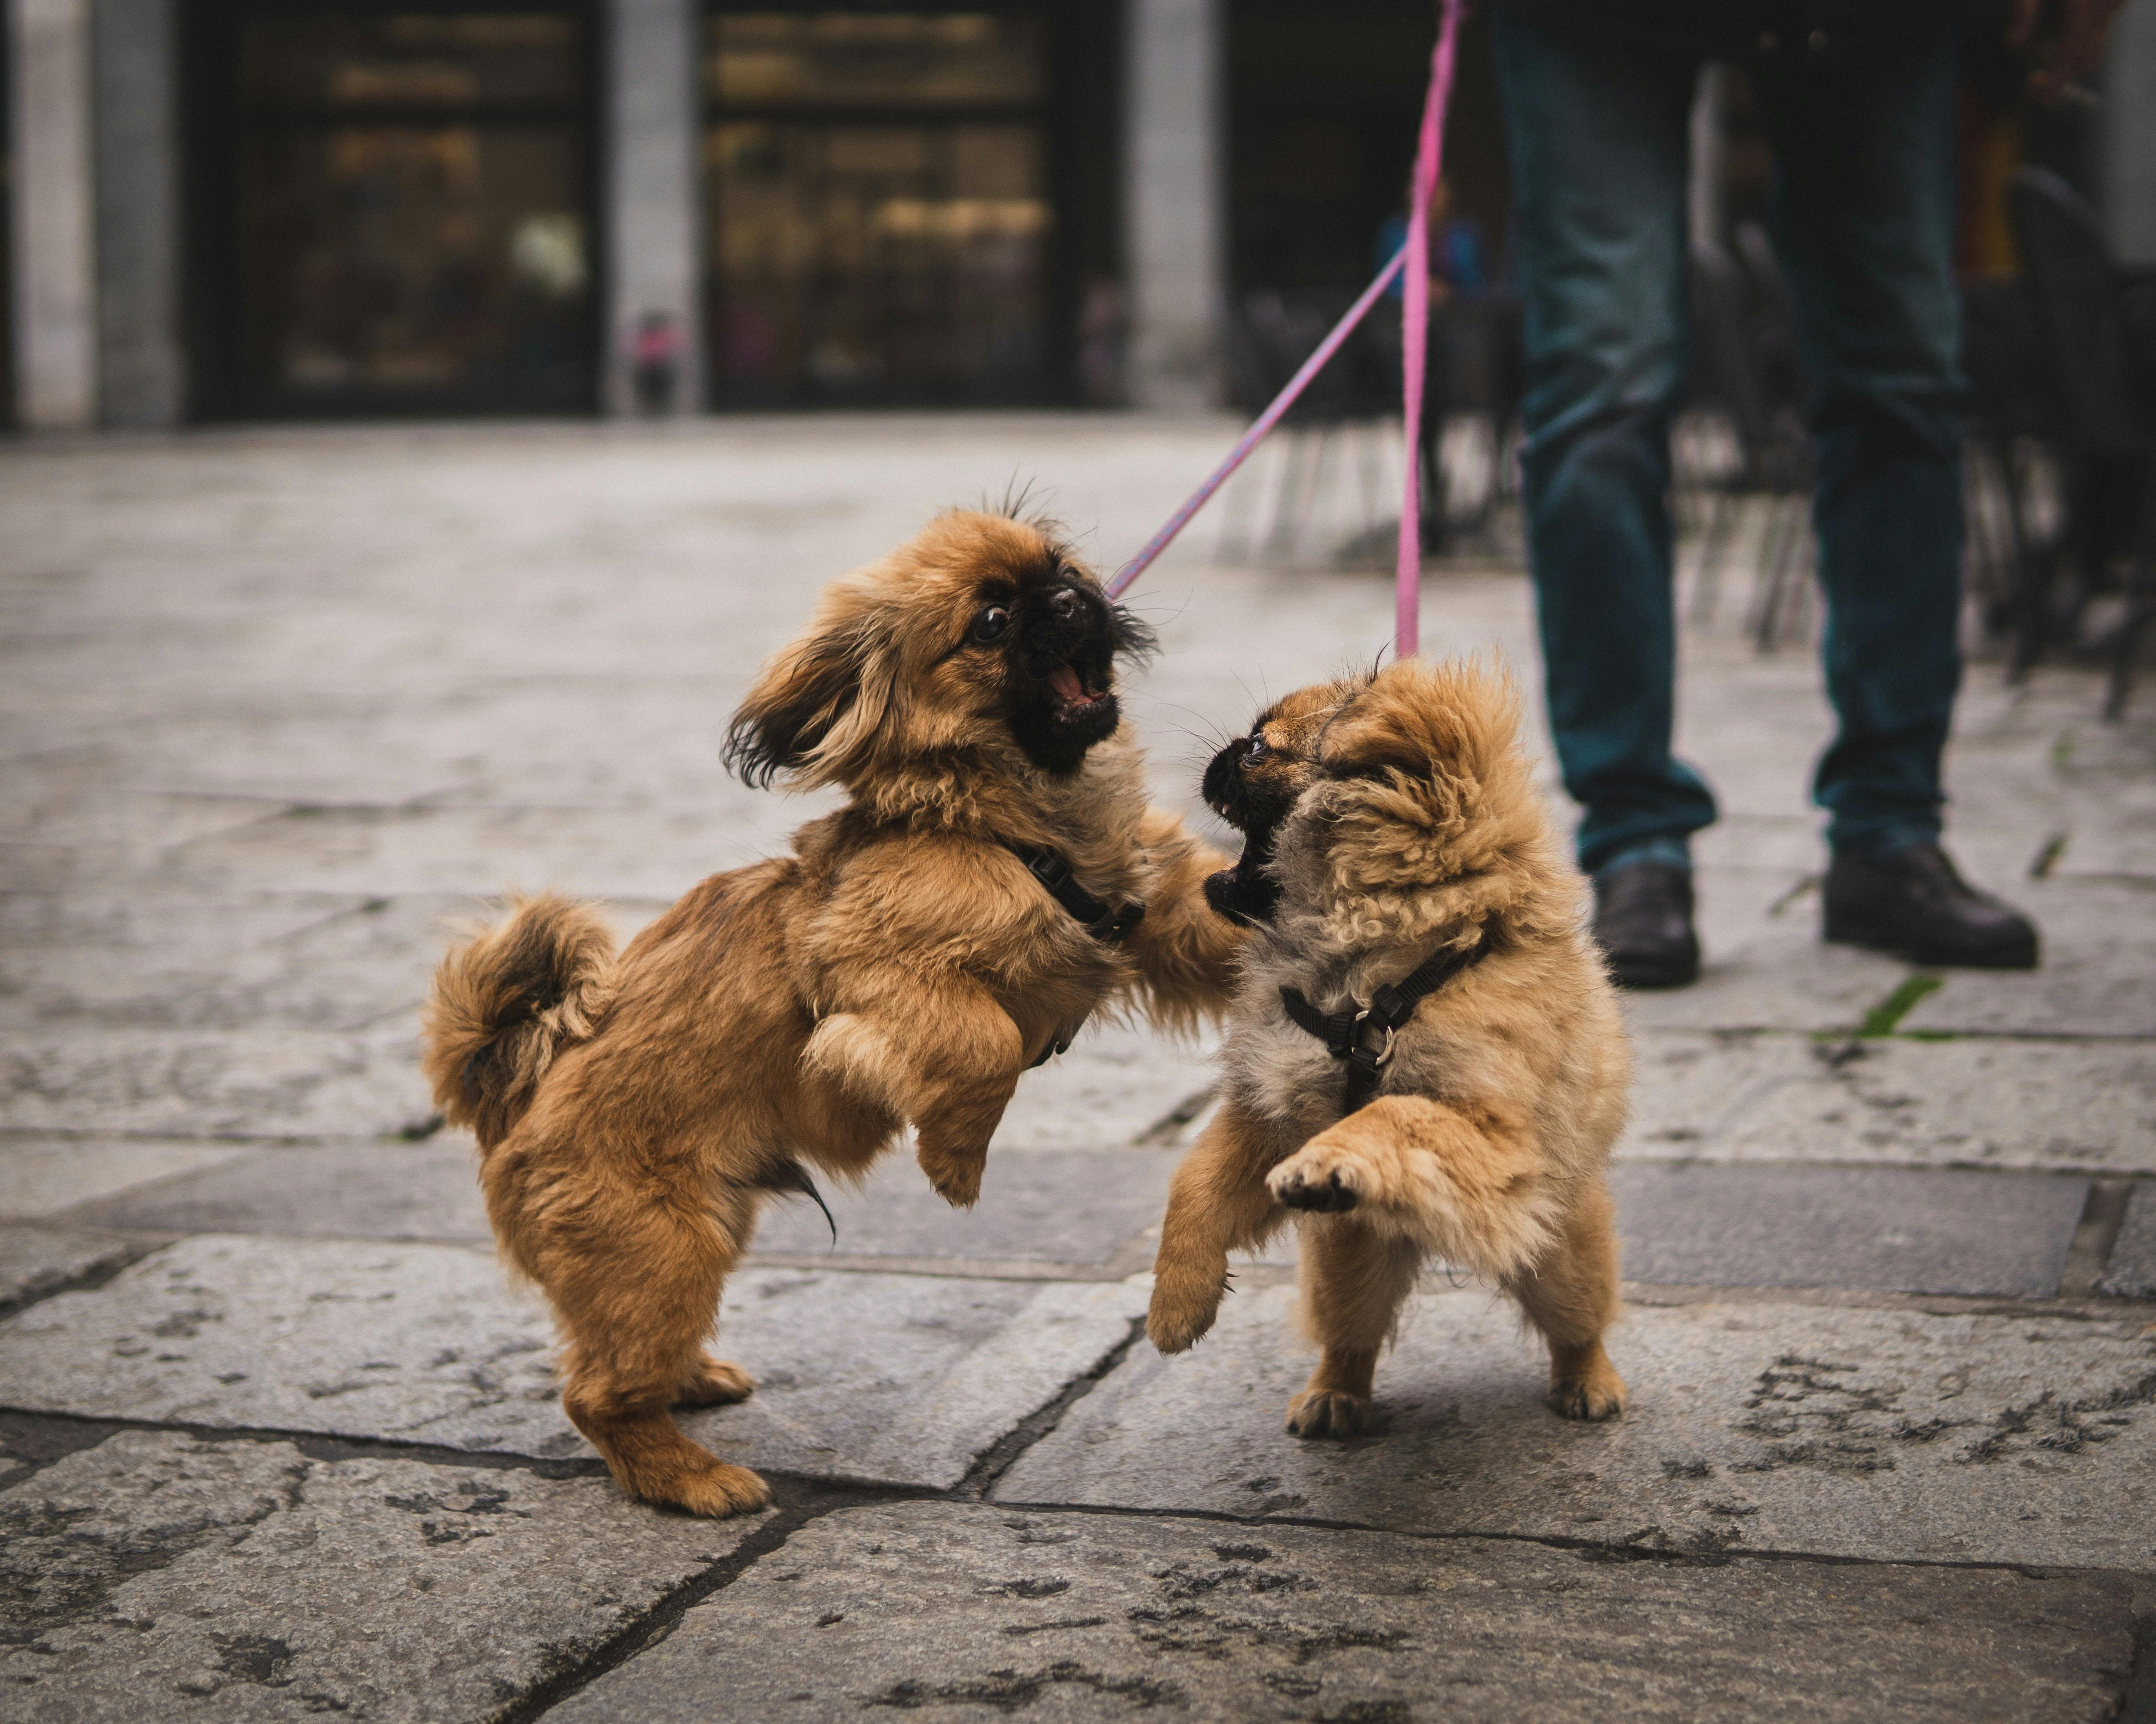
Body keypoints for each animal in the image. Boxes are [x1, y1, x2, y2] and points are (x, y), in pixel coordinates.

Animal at [420, 504, 1250, 1517]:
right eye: (990, 624)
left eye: (1061, 569)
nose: (1066, 597)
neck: (1015, 823)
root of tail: (514, 1100)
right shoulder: (868, 973)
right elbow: (983, 1043)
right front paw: (956, 1165)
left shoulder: (1166, 913)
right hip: (664, 1251)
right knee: (595, 1395)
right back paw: (690, 1479)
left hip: (702, 1233)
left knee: (616, 1362)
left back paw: (692, 1385)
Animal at [1147, 659, 1630, 1439]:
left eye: (1259, 751)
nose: (1221, 754)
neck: (1365, 981)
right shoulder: (1267, 1112)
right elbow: (1192, 1187)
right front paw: (1177, 1302)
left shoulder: (1491, 1129)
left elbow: (1393, 1113)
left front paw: (1328, 1162)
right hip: (1346, 1264)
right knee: (1350, 1338)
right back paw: (1332, 1397)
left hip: (1561, 1255)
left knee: (1578, 1323)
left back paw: (1589, 1383)